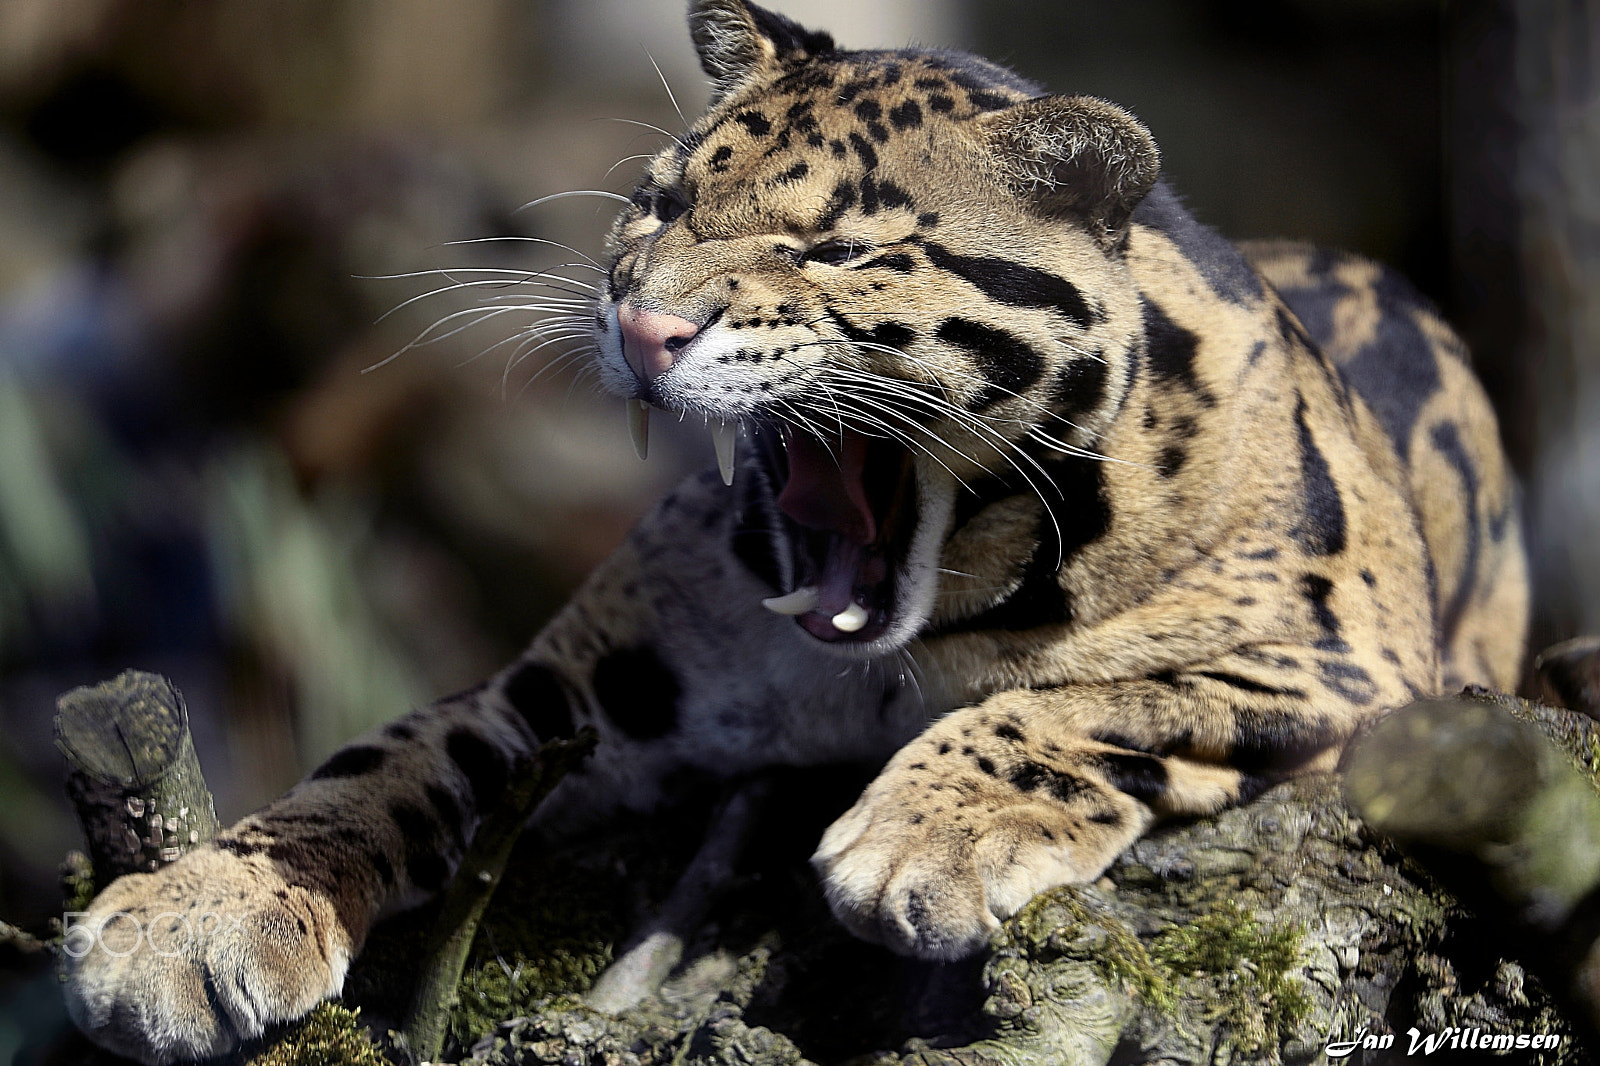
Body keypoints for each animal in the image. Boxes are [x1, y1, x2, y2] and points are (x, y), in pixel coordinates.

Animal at [68, 4, 1529, 1056]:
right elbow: (385, 757)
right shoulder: (574, 686)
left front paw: (924, 832)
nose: (644, 323)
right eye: (661, 205)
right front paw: (194, 915)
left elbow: (1098, 695)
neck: (898, 649)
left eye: (838, 251)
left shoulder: (1348, 660)